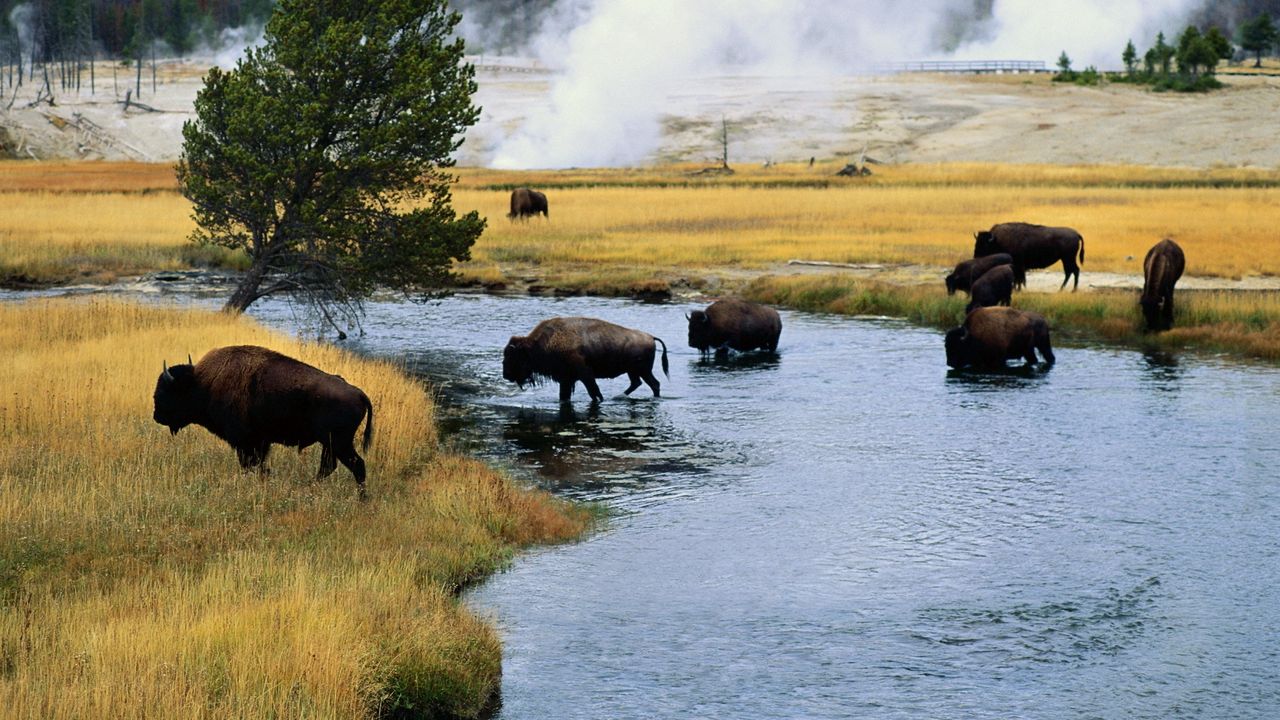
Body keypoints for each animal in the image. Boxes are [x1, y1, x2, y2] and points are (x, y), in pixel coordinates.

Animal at [153, 345, 373, 497]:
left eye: (165, 391)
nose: (156, 416)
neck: (202, 383)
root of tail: (359, 393)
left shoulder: (245, 443)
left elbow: (250, 465)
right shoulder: (260, 443)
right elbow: (260, 466)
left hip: (339, 443)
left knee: (357, 465)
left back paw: (361, 500)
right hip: (330, 444)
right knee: (329, 467)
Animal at [504, 315, 675, 404]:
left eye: (512, 355)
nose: (506, 375)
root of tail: (650, 337)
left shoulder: (585, 375)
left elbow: (594, 391)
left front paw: (600, 399)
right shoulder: (566, 379)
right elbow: (564, 396)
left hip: (642, 370)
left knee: (653, 384)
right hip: (633, 371)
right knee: (639, 383)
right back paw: (619, 396)